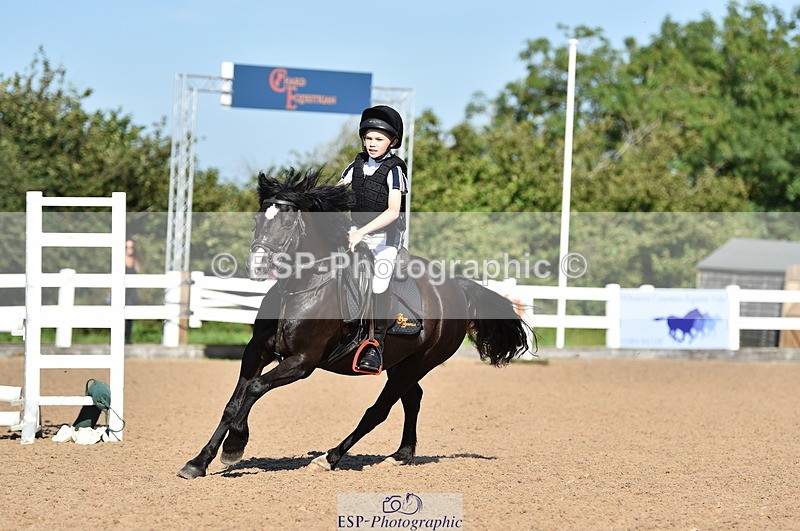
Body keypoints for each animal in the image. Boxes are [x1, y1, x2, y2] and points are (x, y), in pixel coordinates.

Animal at [178, 168, 534, 479]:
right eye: (257, 219)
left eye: (288, 221)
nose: (257, 266)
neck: (299, 286)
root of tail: (456, 288)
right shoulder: (256, 351)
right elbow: (233, 403)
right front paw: (198, 463)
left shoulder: (302, 362)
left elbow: (254, 388)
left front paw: (235, 445)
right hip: (400, 363)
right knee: (412, 398)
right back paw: (401, 455)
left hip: (418, 363)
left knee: (378, 410)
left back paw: (330, 458)